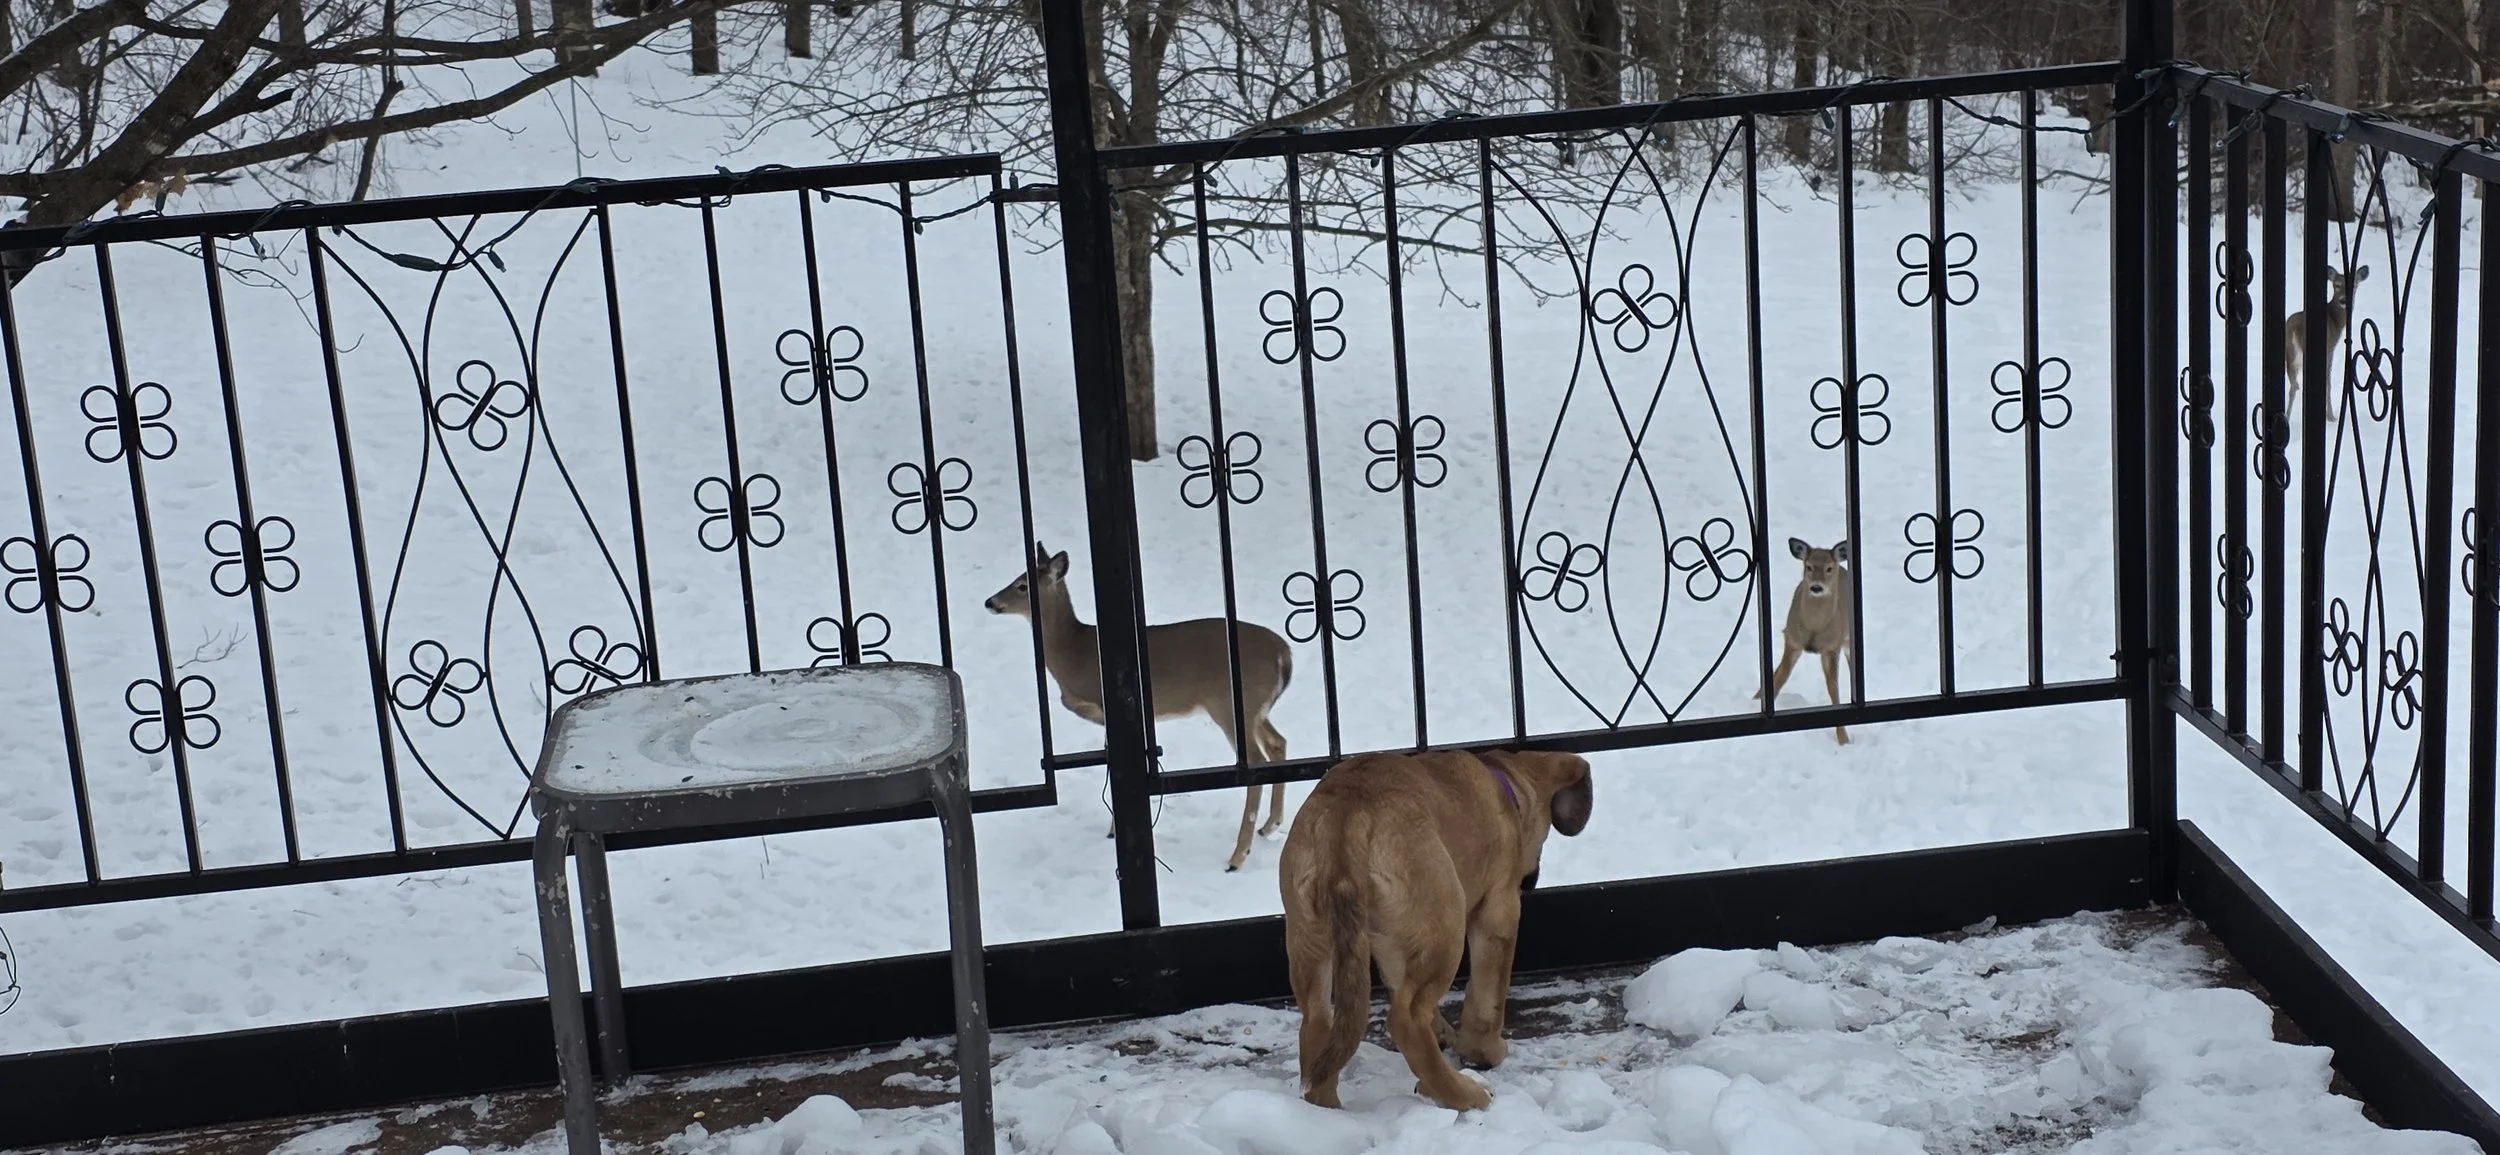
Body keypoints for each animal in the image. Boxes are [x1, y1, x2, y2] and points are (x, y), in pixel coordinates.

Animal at [985, 541, 1295, 872]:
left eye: (1023, 585)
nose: (990, 601)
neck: (1075, 654)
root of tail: (1283, 653)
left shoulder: (1109, 708)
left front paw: (1114, 831)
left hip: (1230, 703)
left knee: (1257, 761)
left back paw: (1238, 856)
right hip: (1255, 708)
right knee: (1278, 743)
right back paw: (1270, 825)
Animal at [1755, 537, 1854, 745]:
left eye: (1829, 568)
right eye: (1808, 566)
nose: (1816, 587)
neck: (1814, 628)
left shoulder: (1831, 647)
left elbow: (1833, 688)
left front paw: (1843, 738)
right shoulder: (1792, 639)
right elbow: (1781, 675)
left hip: (1848, 639)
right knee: (1778, 671)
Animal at [2285, 264, 2368, 426]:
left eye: (2354, 285)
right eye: (2337, 285)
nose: (2343, 300)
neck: (2335, 320)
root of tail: (2294, 329)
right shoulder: (2330, 348)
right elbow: (2328, 381)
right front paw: (2330, 417)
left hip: (2290, 355)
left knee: (2293, 386)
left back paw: (2287, 417)